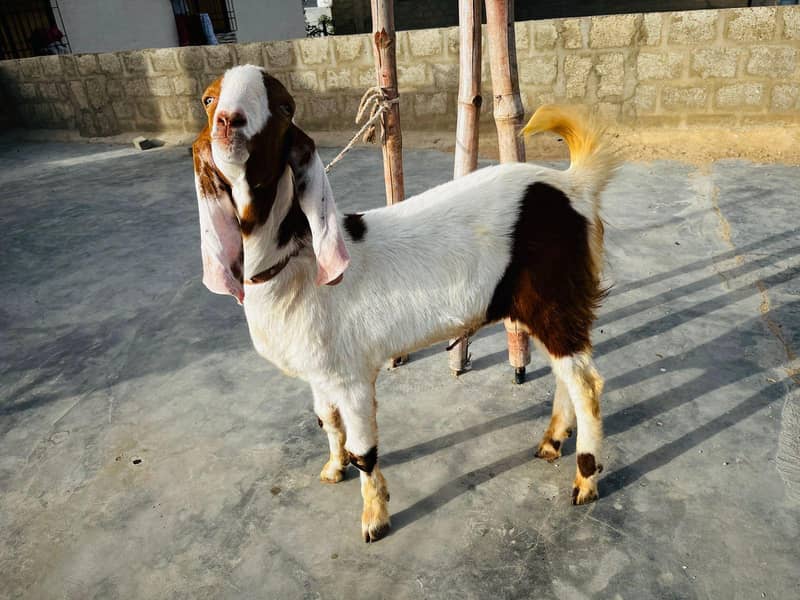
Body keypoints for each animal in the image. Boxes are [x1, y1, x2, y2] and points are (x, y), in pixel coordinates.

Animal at [192, 64, 617, 542]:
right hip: (542, 307)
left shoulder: (353, 377)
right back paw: (551, 443)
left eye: (284, 106)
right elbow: (327, 420)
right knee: (567, 374)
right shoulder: (322, 371)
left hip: (556, 297)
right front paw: (333, 468)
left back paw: (585, 480)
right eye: (208, 99)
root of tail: (573, 187)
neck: (296, 262)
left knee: (587, 384)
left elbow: (364, 448)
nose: (229, 122)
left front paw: (374, 519)